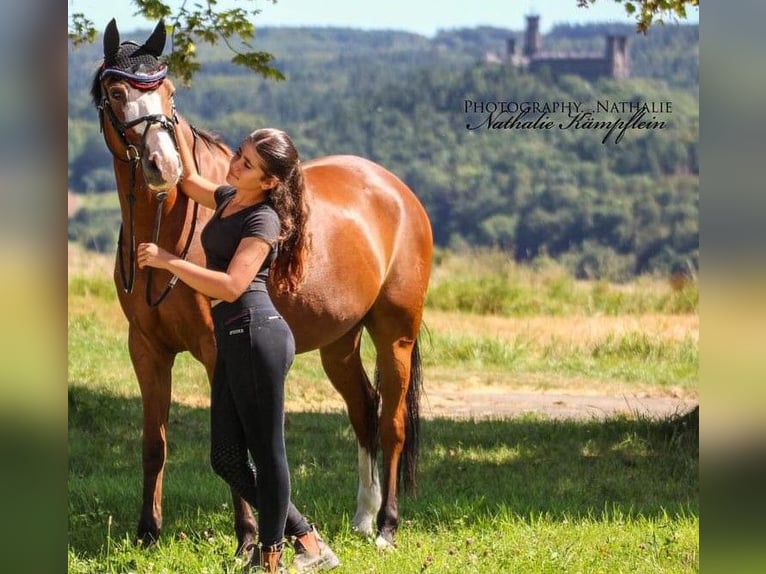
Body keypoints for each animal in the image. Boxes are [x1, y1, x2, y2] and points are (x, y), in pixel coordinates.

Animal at [89, 20, 436, 552]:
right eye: (117, 91)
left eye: (169, 92)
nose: (164, 167)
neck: (169, 228)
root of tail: (397, 191)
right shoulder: (145, 348)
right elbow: (154, 442)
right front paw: (148, 532)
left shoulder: (219, 351)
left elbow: (238, 444)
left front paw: (248, 539)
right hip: (340, 342)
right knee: (365, 411)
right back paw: (362, 517)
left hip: (394, 331)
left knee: (393, 424)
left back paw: (386, 527)